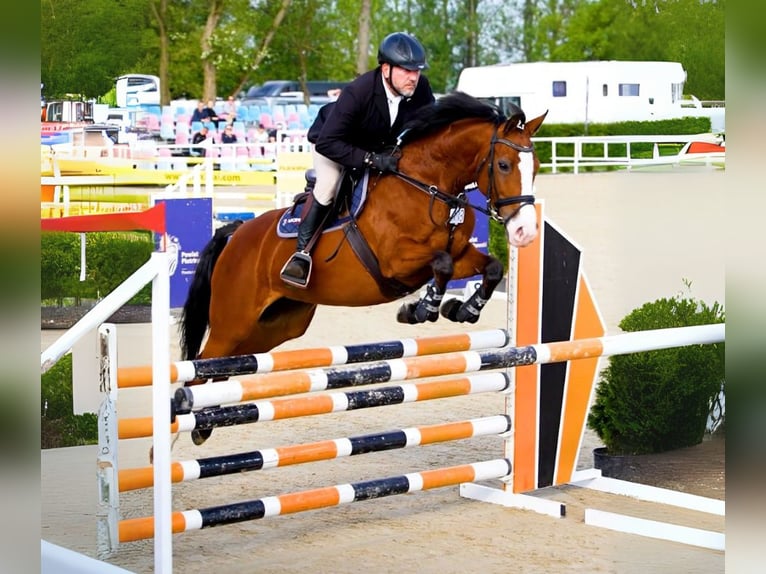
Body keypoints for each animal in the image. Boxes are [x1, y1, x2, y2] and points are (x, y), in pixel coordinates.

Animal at [179, 91, 546, 443]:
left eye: (537, 166)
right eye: (503, 165)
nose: (524, 231)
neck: (429, 187)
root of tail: (236, 233)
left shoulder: (461, 254)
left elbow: (492, 267)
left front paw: (462, 309)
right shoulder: (397, 262)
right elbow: (440, 265)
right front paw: (421, 309)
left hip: (276, 326)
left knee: (226, 367)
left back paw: (204, 424)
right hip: (233, 321)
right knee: (201, 366)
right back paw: (184, 427)